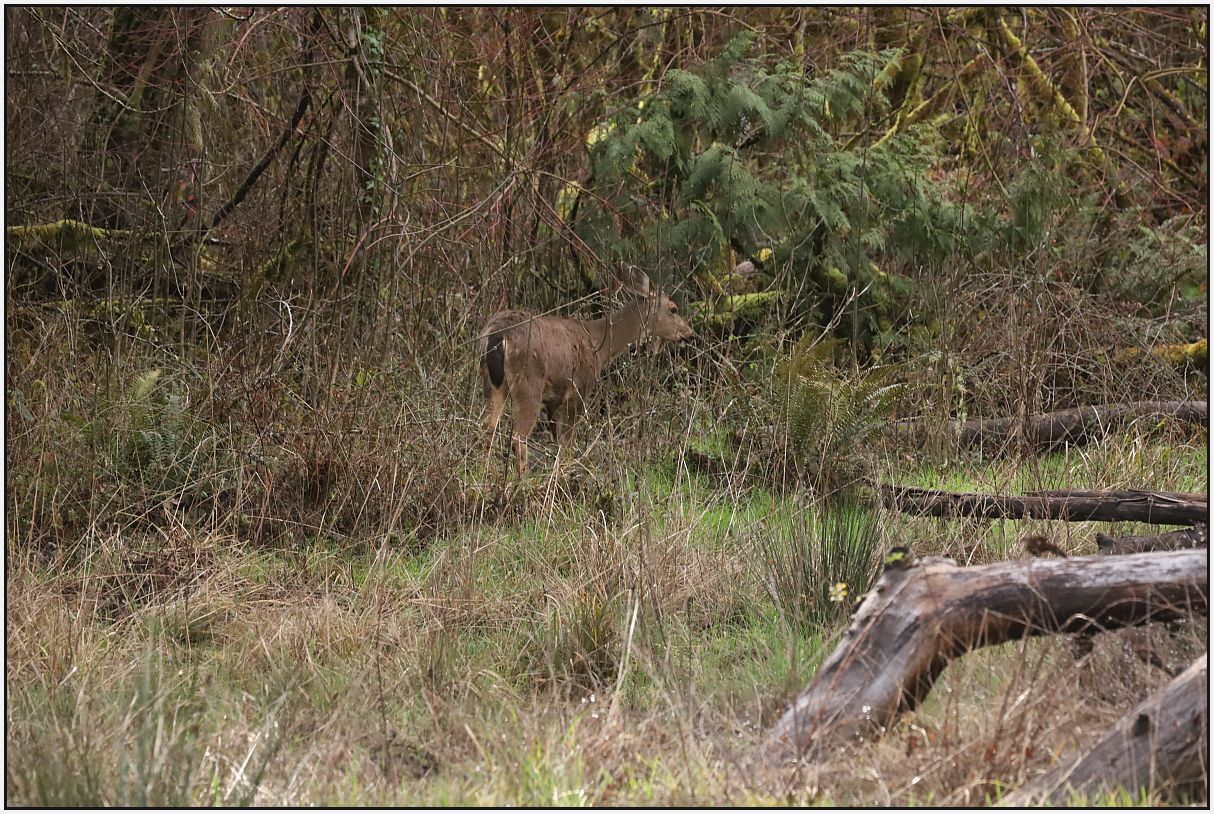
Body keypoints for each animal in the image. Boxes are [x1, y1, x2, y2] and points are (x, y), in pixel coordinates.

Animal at [478, 268, 695, 478]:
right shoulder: (579, 390)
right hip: (529, 382)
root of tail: (499, 334)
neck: (598, 345)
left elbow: (559, 442)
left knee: (488, 427)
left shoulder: (554, 400)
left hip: (491, 381)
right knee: (517, 437)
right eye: (673, 309)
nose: (690, 334)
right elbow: (568, 443)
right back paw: (521, 481)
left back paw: (485, 475)